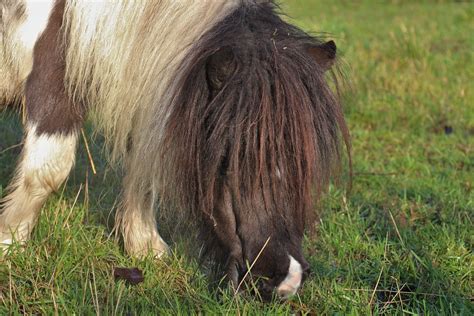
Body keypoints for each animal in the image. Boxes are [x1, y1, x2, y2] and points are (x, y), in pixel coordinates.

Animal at [0, 0, 348, 298]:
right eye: (231, 159)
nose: (286, 279)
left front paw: (144, 245)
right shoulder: (53, 85)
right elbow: (47, 171)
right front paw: (9, 244)